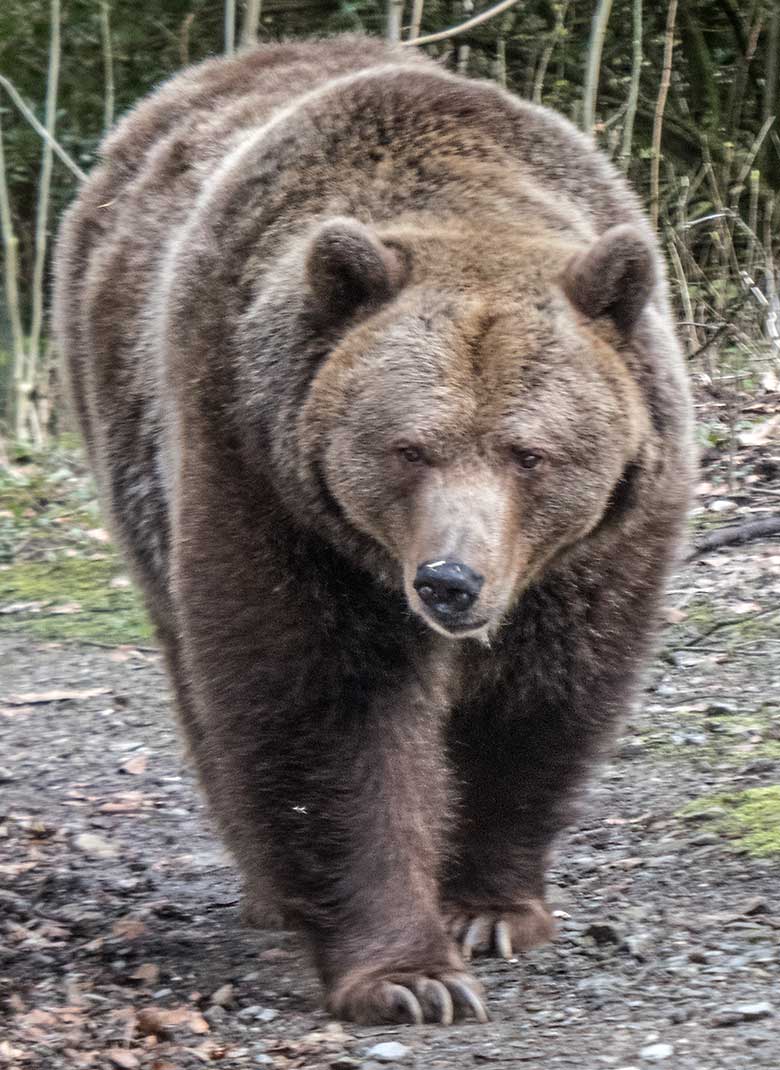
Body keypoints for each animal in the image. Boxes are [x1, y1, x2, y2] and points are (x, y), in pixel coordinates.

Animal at [54, 37, 693, 1027]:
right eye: (408, 448)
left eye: (529, 453)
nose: (449, 581)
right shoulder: (264, 474)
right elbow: (327, 705)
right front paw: (410, 975)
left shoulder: (601, 542)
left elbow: (545, 695)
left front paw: (489, 907)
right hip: (127, 435)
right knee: (199, 675)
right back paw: (273, 890)